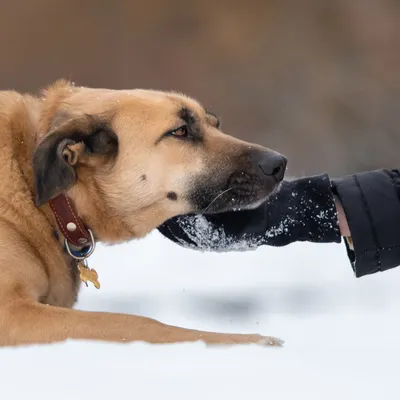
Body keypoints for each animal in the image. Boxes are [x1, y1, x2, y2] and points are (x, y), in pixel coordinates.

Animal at [0, 79, 288, 346]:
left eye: (215, 124)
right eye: (180, 131)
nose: (279, 164)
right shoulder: (12, 313)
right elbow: (139, 324)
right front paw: (251, 340)